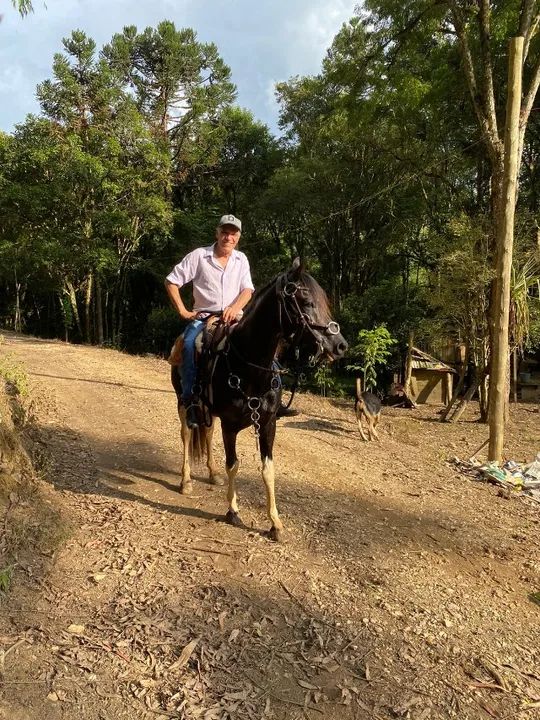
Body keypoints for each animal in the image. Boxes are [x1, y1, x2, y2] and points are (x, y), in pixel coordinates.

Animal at [170, 258, 348, 541]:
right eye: (307, 302)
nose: (340, 346)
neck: (249, 366)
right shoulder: (230, 425)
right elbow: (233, 464)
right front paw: (233, 511)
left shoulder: (267, 424)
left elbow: (268, 470)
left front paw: (275, 523)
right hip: (184, 402)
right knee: (187, 434)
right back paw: (186, 480)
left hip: (208, 410)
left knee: (206, 433)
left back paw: (212, 474)